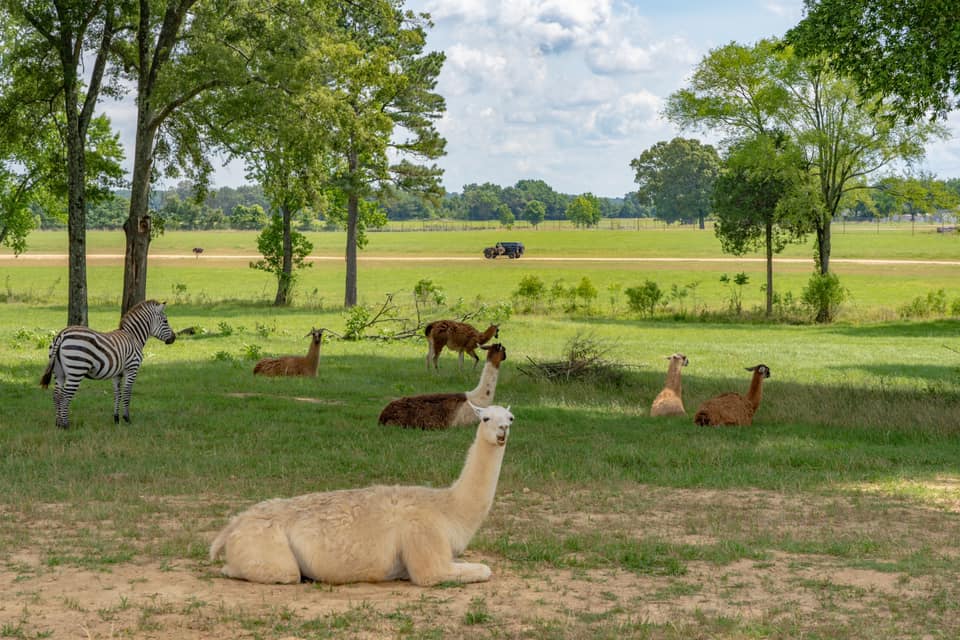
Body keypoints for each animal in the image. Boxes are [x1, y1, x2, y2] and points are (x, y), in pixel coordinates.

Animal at [39, 300, 176, 430]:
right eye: (165, 321)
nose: (174, 338)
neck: (134, 336)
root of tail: (62, 334)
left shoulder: (117, 374)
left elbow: (117, 394)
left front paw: (116, 419)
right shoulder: (132, 369)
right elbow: (127, 394)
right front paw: (127, 419)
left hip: (59, 372)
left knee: (56, 395)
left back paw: (58, 424)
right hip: (76, 370)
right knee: (65, 396)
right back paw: (66, 425)